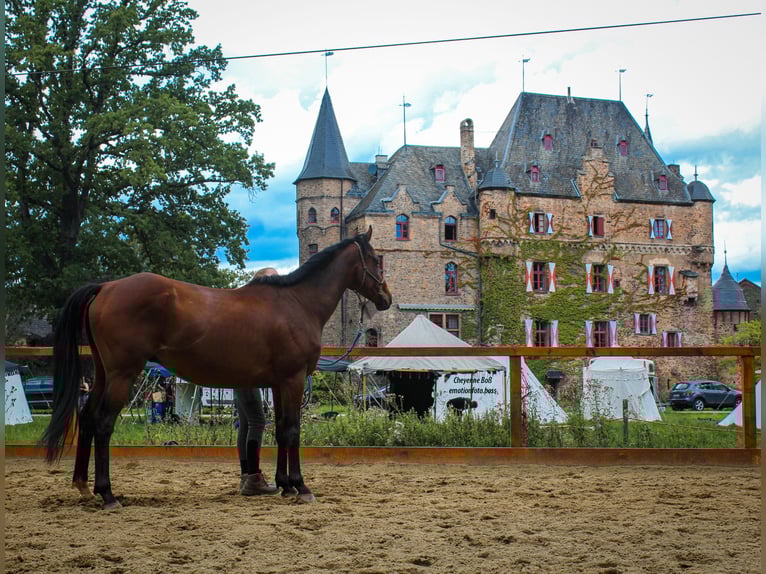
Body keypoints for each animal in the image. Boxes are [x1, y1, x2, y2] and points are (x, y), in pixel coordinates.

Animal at [41, 227, 392, 508]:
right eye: (376, 258)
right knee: (102, 424)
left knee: (87, 419)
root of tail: (106, 287)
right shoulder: (292, 380)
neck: (296, 302)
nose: (386, 298)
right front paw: (301, 486)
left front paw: (284, 485)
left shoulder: (279, 383)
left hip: (104, 374)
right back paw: (107, 494)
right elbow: (292, 430)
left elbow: (280, 429)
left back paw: (82, 486)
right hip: (122, 376)